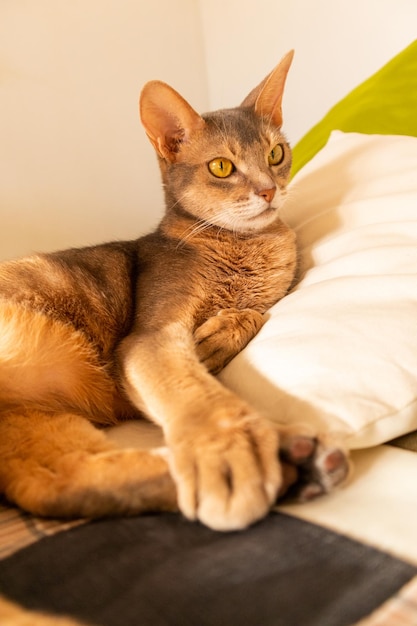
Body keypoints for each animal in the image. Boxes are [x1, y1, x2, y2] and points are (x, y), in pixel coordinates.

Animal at [0, 50, 346, 532]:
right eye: (221, 167)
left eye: (276, 153)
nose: (269, 189)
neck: (244, 248)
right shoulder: (152, 335)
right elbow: (193, 391)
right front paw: (229, 452)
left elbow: (256, 312)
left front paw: (220, 334)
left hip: (32, 423)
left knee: (58, 484)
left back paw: (298, 463)